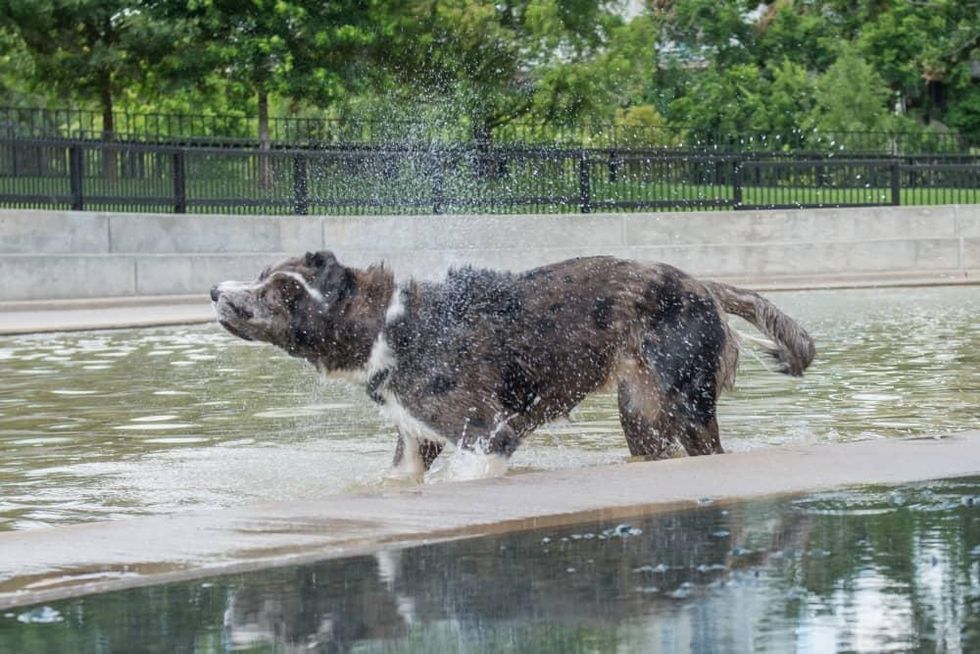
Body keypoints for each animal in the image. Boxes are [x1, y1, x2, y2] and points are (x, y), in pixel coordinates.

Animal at [211, 254, 816, 480]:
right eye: (263, 276)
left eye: (284, 293)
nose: (215, 290)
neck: (389, 324)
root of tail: (704, 286)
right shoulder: (414, 441)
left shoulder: (487, 433)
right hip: (643, 415)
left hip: (679, 404)